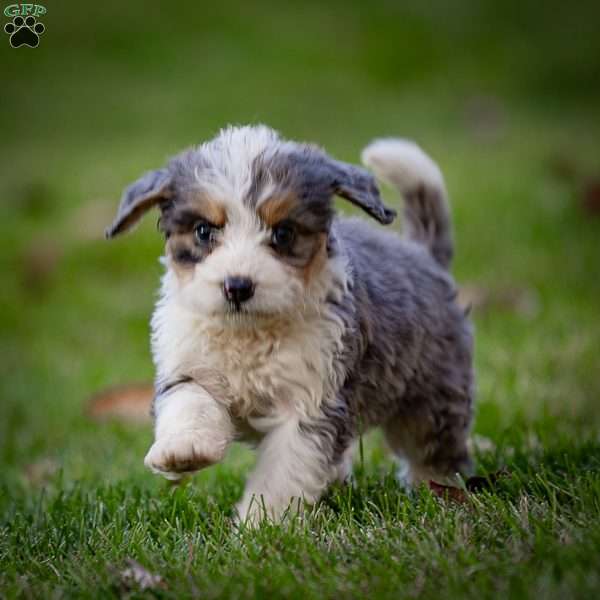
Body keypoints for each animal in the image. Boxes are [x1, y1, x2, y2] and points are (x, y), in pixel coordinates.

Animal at [106, 124, 474, 524]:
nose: (237, 286)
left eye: (283, 233)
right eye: (204, 231)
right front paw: (183, 449)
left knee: (433, 449)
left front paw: (261, 525)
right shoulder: (189, 364)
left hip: (432, 398)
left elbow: (284, 472)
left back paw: (438, 490)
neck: (249, 334)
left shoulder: (310, 402)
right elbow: (189, 400)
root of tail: (424, 256)